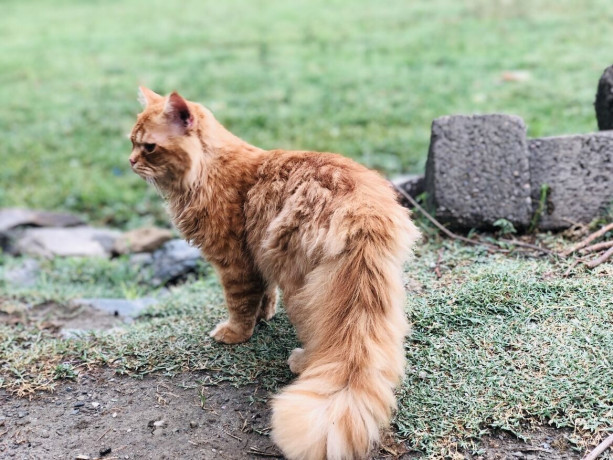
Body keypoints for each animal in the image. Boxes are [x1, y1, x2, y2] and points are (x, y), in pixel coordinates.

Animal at [130, 87, 420, 460]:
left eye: (149, 147)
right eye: (131, 142)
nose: (130, 161)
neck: (206, 172)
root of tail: (362, 211)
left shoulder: (234, 263)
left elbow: (239, 305)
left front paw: (236, 333)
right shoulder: (258, 258)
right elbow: (263, 295)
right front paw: (263, 316)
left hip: (302, 288)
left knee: (320, 335)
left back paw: (301, 361)